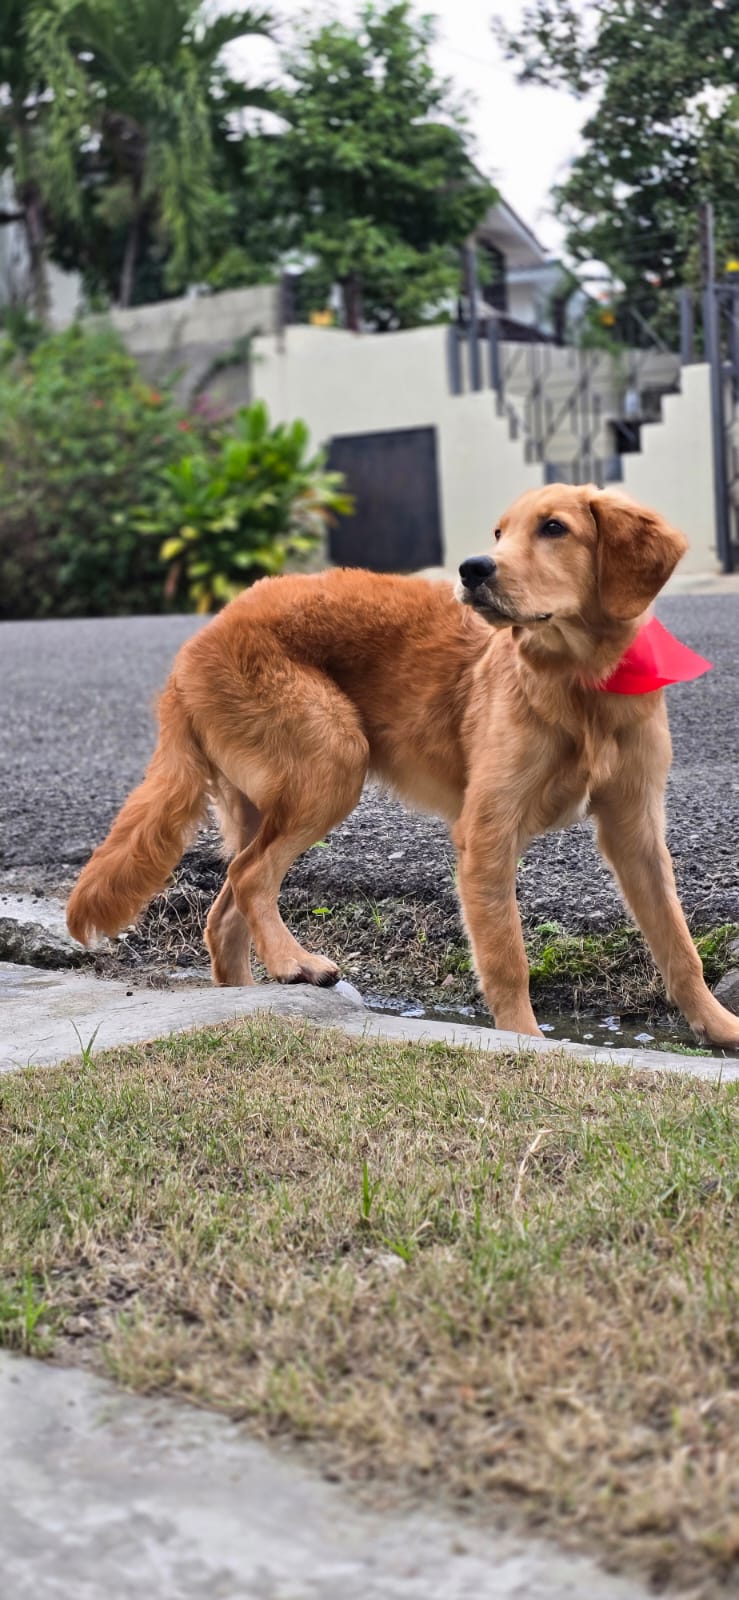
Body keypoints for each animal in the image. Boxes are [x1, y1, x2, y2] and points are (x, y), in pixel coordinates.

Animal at [67, 480, 739, 1043]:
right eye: (499, 533)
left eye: (554, 528)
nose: (472, 569)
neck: (581, 682)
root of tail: (191, 650)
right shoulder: (487, 833)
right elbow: (507, 956)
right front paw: (526, 1042)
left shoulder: (635, 830)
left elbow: (678, 943)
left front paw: (717, 1026)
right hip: (332, 763)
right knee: (250, 875)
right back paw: (294, 963)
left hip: (270, 798)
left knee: (223, 912)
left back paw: (250, 996)